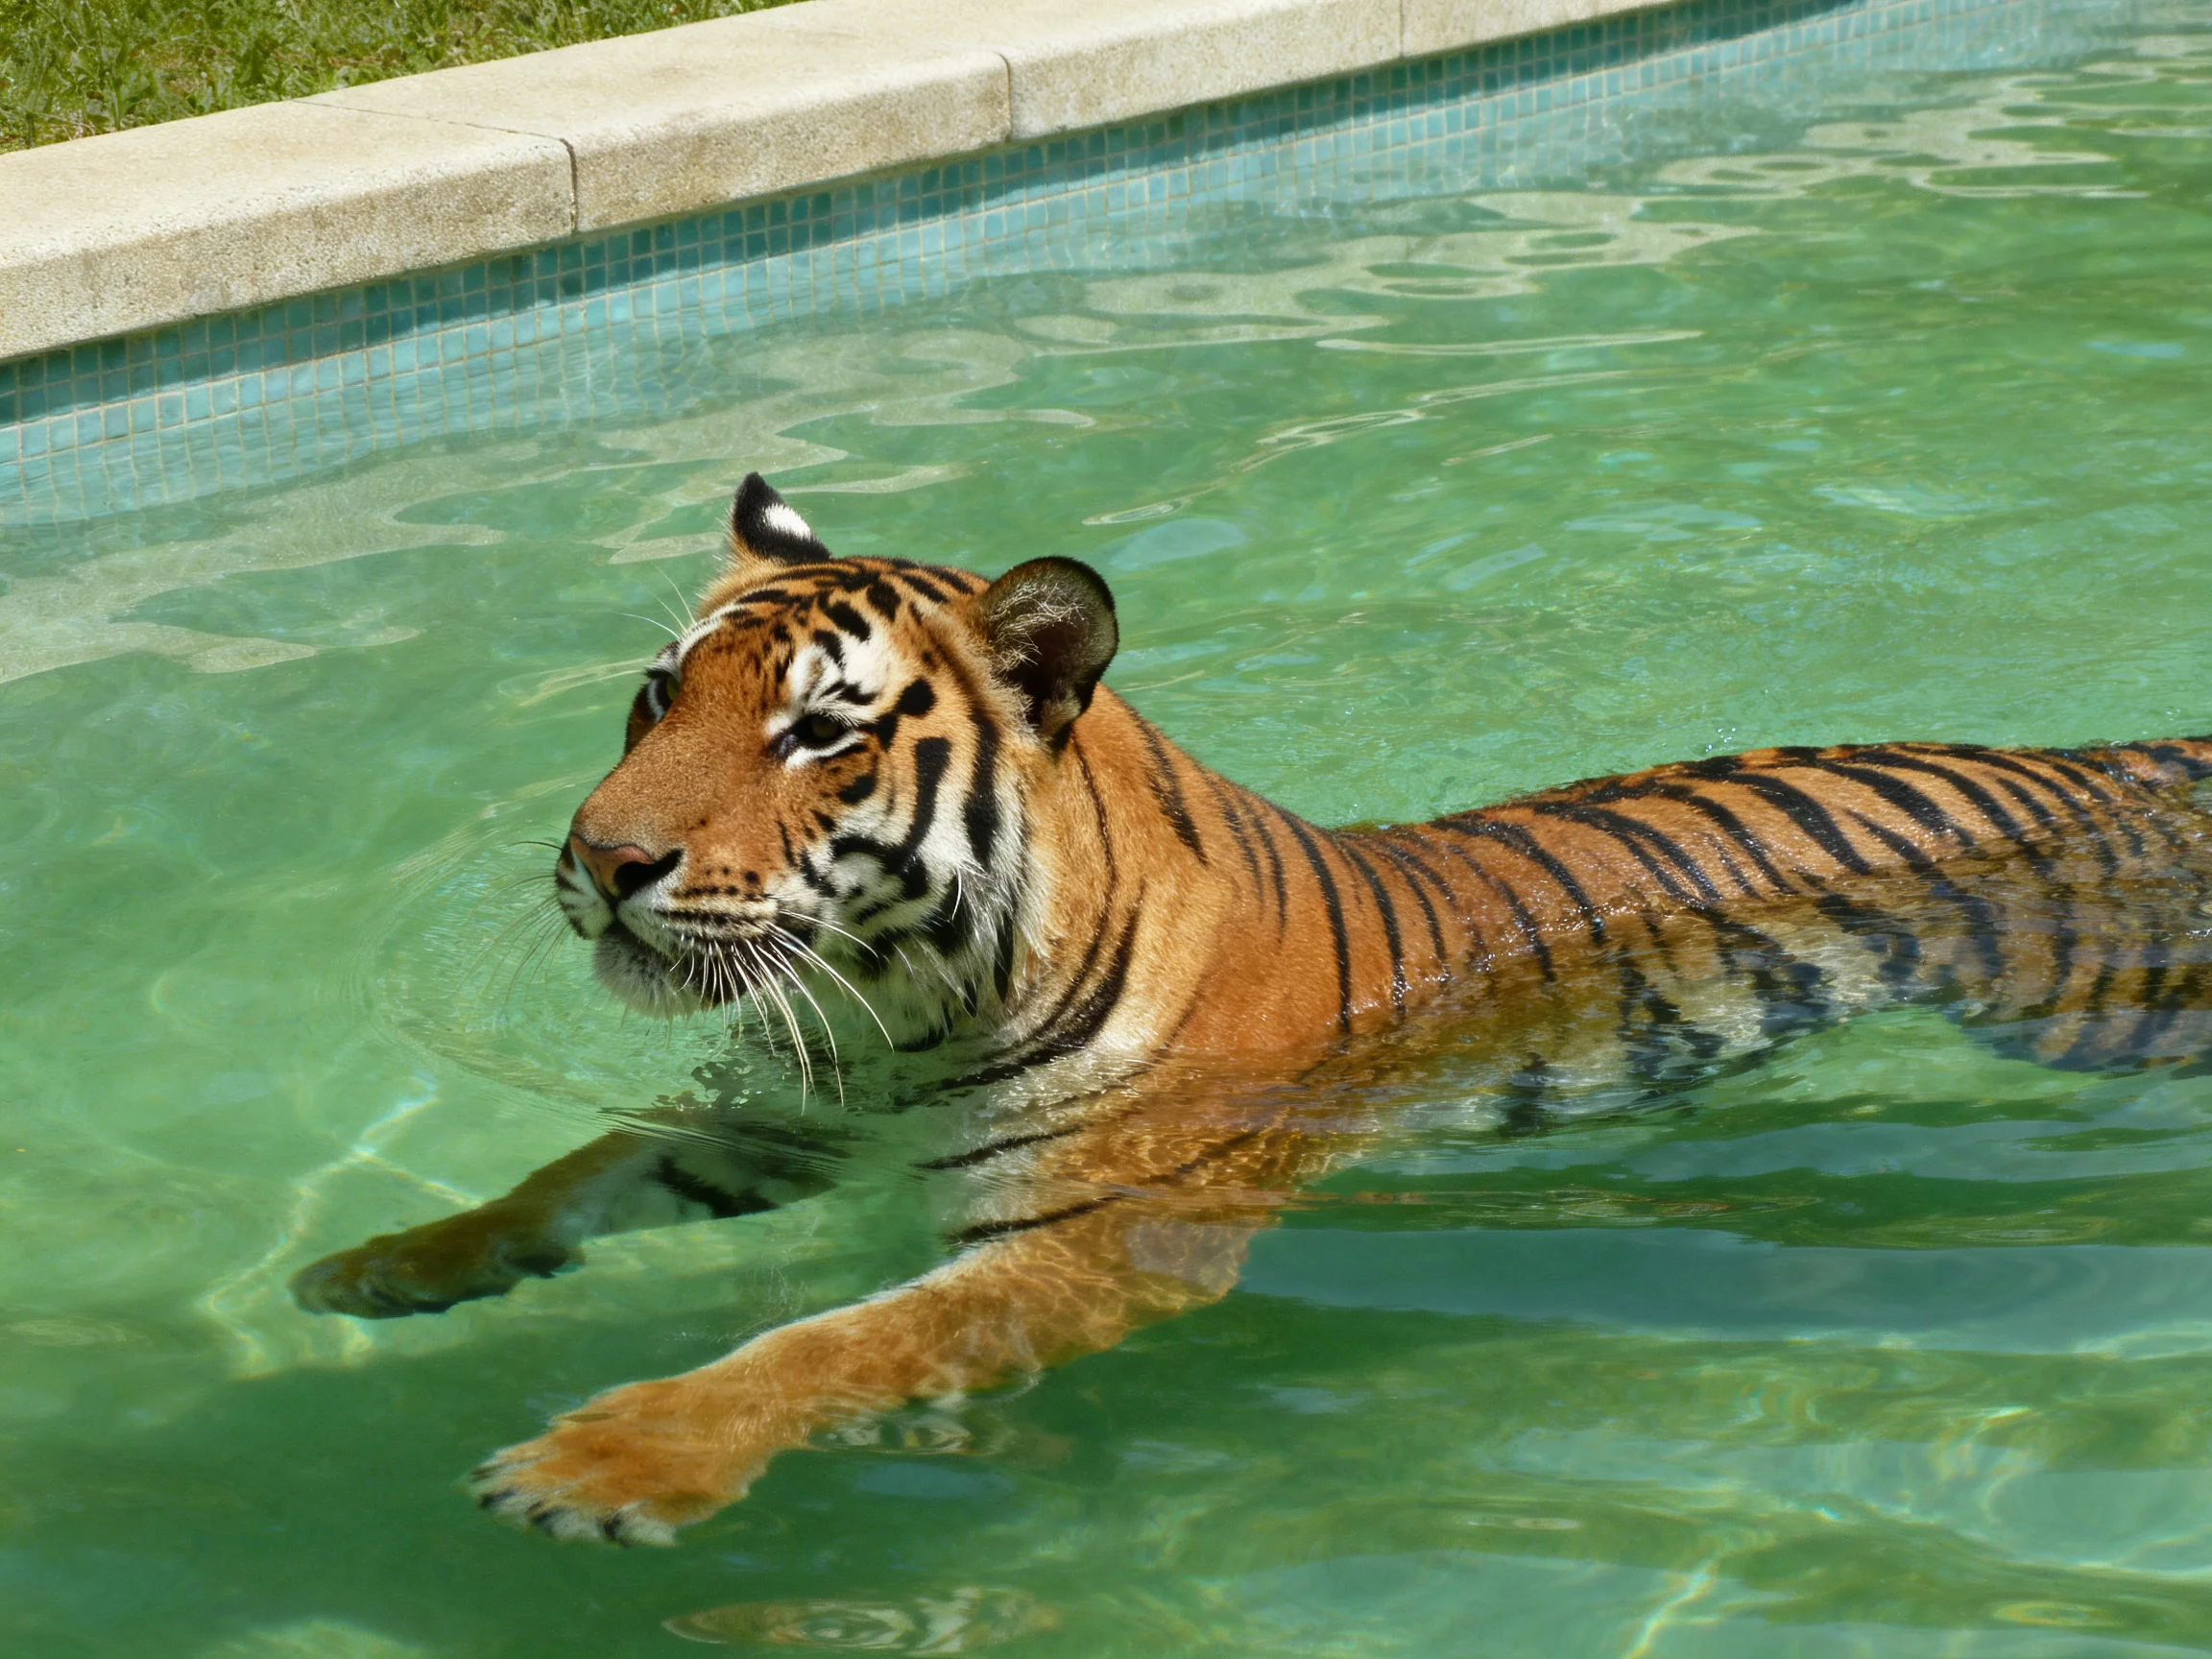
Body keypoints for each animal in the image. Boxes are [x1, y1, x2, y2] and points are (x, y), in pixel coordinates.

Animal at [292, 472, 2212, 1545]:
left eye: (818, 731)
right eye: (656, 694)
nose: (599, 858)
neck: (905, 1002)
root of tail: (2118, 755)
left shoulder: (1099, 1240)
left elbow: (828, 1346)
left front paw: (609, 1460)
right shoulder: (786, 1110)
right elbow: (576, 1175)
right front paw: (385, 1266)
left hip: (2094, 1015)